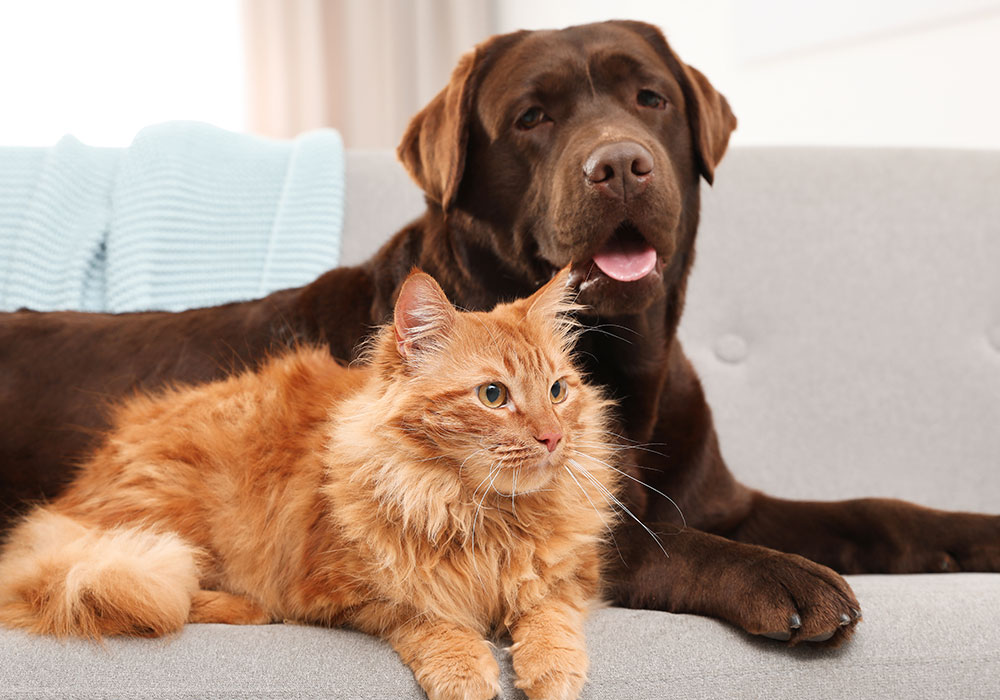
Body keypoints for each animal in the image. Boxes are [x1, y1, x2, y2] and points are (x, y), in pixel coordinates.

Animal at [0, 270, 616, 700]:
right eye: (493, 395)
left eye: (558, 391)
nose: (552, 437)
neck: (482, 513)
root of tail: (71, 500)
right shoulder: (348, 593)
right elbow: (429, 617)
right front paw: (466, 669)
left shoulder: (576, 576)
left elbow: (549, 612)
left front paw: (552, 669)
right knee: (161, 594)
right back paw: (246, 607)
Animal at [1, 21, 1000, 644]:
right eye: (533, 116)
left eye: (651, 100)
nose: (620, 163)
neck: (617, 364)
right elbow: (657, 541)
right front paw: (782, 576)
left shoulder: (722, 493)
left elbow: (875, 510)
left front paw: (975, 529)